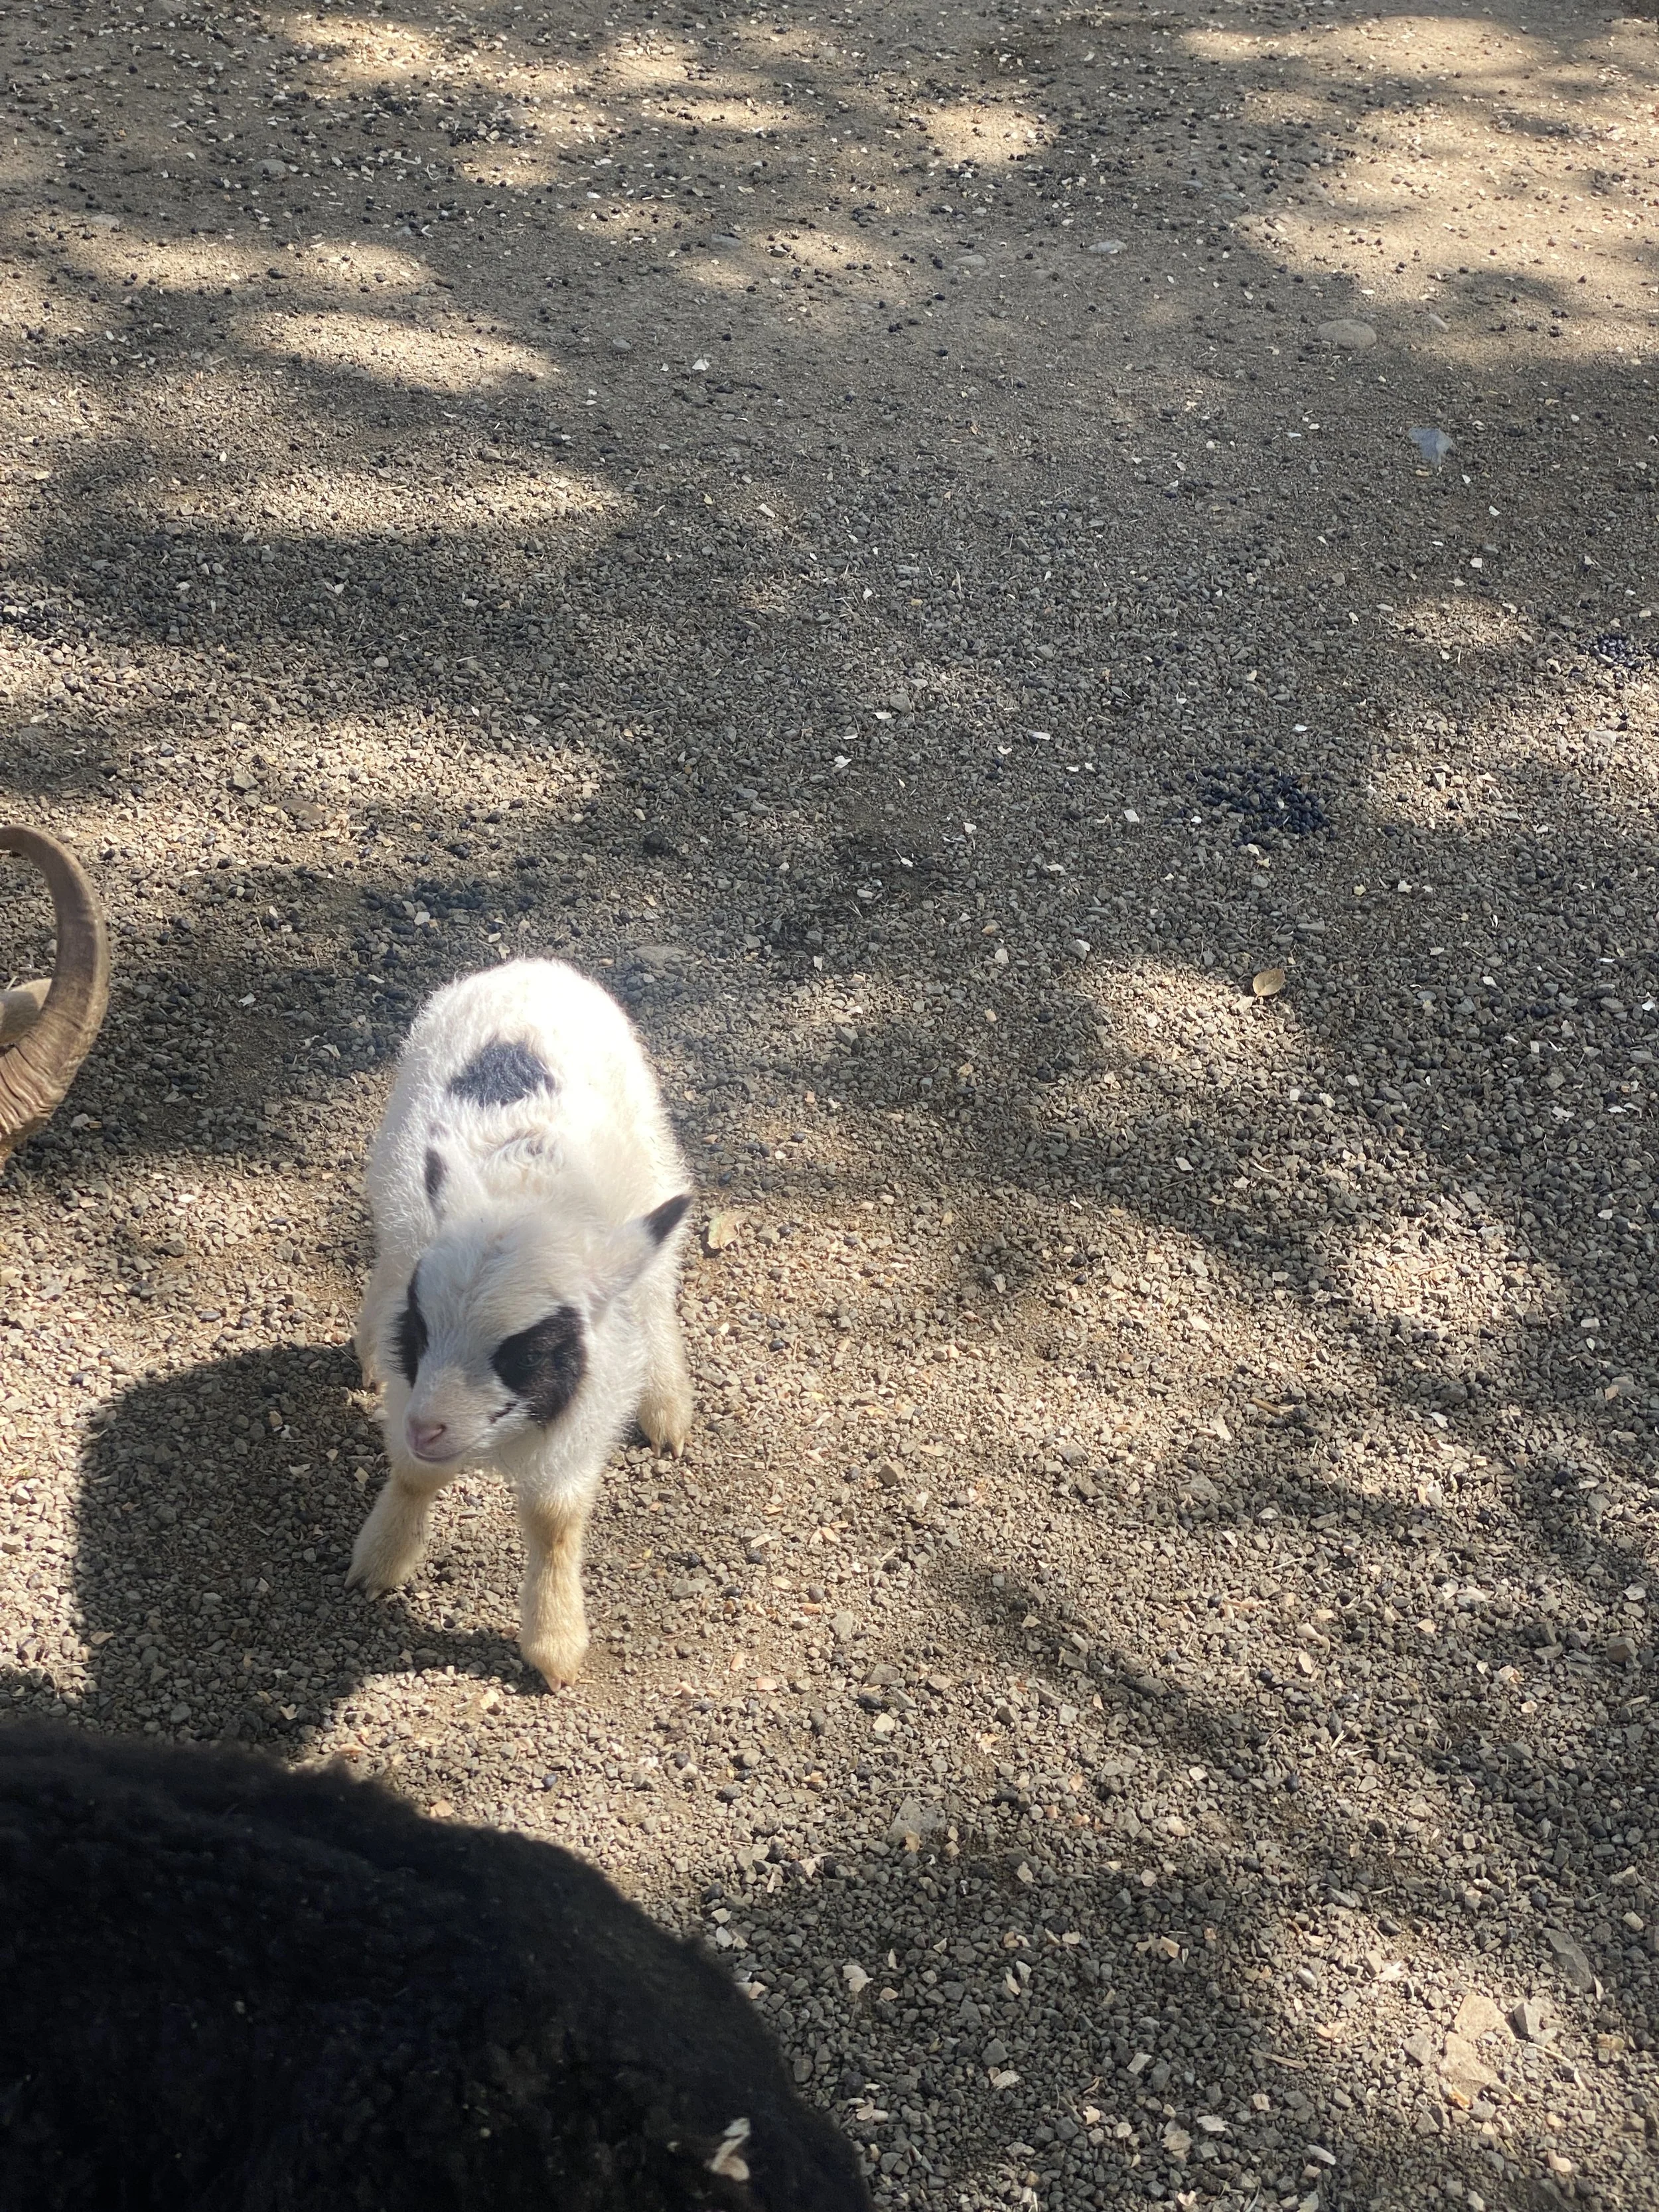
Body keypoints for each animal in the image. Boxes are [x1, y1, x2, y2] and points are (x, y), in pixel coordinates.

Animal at [349, 959, 693, 1686]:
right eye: (419, 1330)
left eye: (528, 1351)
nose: (429, 1425)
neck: (531, 1198)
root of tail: (533, 966)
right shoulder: (412, 1389)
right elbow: (414, 1473)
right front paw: (381, 1560)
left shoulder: (584, 1420)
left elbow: (554, 1518)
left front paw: (555, 1644)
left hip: (652, 1157)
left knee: (655, 1286)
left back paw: (666, 1406)